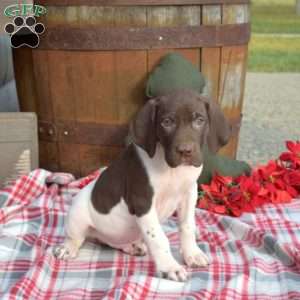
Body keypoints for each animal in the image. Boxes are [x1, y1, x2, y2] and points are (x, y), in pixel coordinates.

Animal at [54, 88, 232, 282]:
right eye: (167, 122)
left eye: (199, 120)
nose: (185, 151)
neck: (170, 169)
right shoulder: (143, 201)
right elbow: (158, 237)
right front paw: (170, 267)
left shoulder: (189, 194)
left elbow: (187, 226)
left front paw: (192, 254)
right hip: (77, 214)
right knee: (76, 237)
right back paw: (67, 248)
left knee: (113, 242)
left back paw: (132, 246)